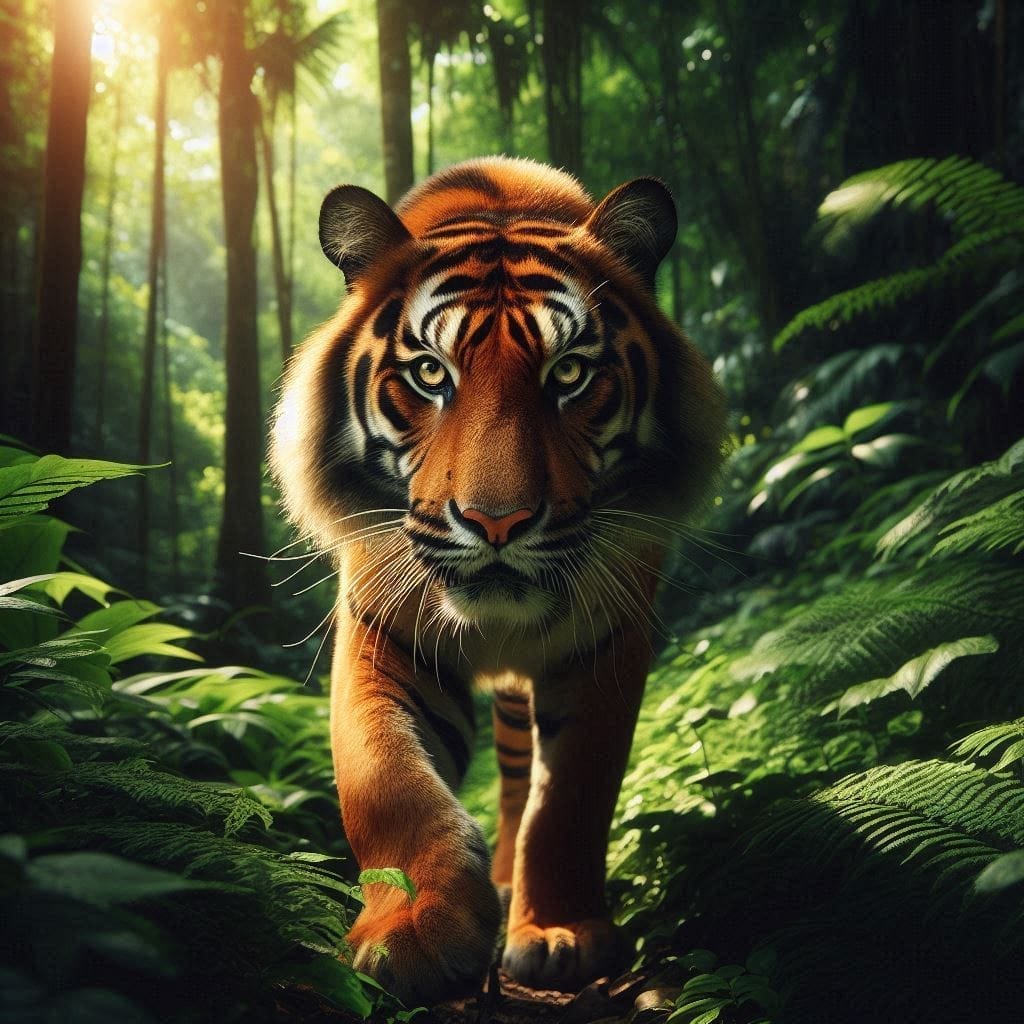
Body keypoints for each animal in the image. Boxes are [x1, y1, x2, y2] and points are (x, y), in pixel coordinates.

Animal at [270, 156, 725, 1006]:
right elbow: (386, 782)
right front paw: (414, 931)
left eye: (569, 373)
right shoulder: (381, 632)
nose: (498, 522)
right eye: (429, 373)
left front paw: (559, 933)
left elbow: (570, 798)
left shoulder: (608, 643)